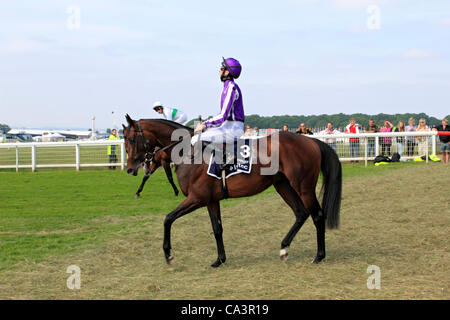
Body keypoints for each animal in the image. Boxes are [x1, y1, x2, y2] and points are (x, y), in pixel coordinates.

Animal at [123, 115, 342, 268]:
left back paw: (319, 256)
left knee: (317, 215)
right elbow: (217, 229)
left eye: (132, 140)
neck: (189, 153)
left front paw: (168, 254)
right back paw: (284, 248)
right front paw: (219, 259)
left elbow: (168, 219)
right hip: (283, 185)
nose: (130, 169)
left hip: (303, 187)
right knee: (301, 213)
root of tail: (312, 141)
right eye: (124, 140)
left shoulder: (197, 198)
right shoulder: (211, 200)